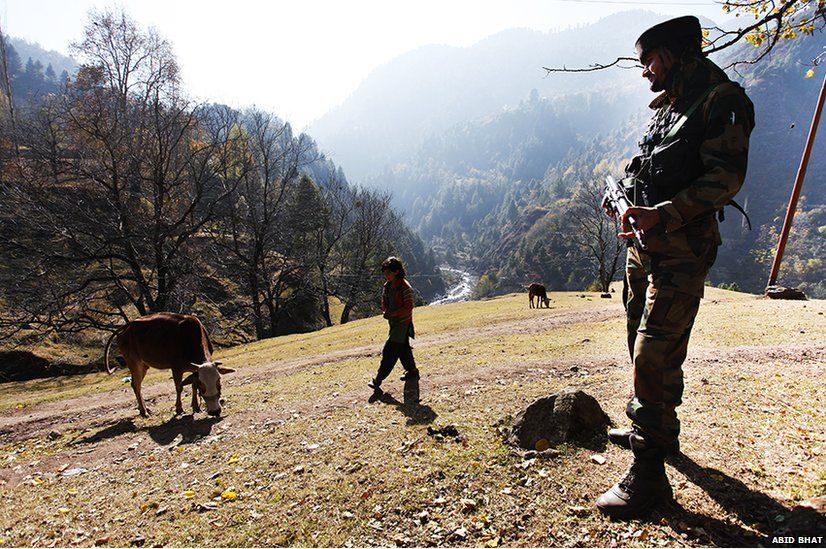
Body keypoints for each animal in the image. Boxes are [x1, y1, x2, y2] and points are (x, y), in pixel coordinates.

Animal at [103, 312, 233, 416]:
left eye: (219, 381)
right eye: (203, 385)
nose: (215, 411)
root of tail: (126, 326)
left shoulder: (194, 369)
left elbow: (193, 385)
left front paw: (196, 407)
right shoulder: (176, 368)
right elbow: (179, 387)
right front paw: (179, 409)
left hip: (143, 365)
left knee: (136, 385)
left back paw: (144, 409)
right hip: (134, 363)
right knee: (136, 385)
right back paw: (144, 411)